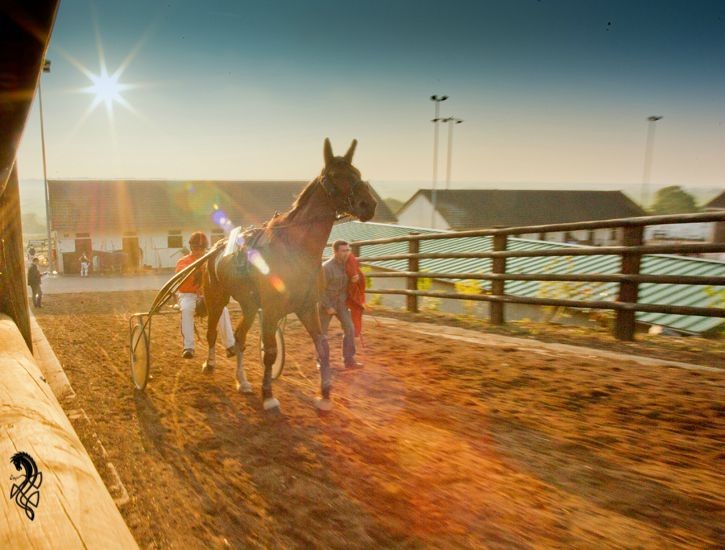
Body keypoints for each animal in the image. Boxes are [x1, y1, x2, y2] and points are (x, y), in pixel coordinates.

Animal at [201, 140, 376, 412]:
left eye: (356, 172)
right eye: (336, 175)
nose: (369, 204)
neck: (294, 248)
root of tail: (216, 248)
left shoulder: (307, 307)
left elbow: (323, 346)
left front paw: (325, 395)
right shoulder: (272, 310)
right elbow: (271, 352)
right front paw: (268, 396)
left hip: (249, 305)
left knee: (240, 338)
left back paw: (242, 381)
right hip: (216, 298)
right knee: (211, 331)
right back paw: (209, 364)